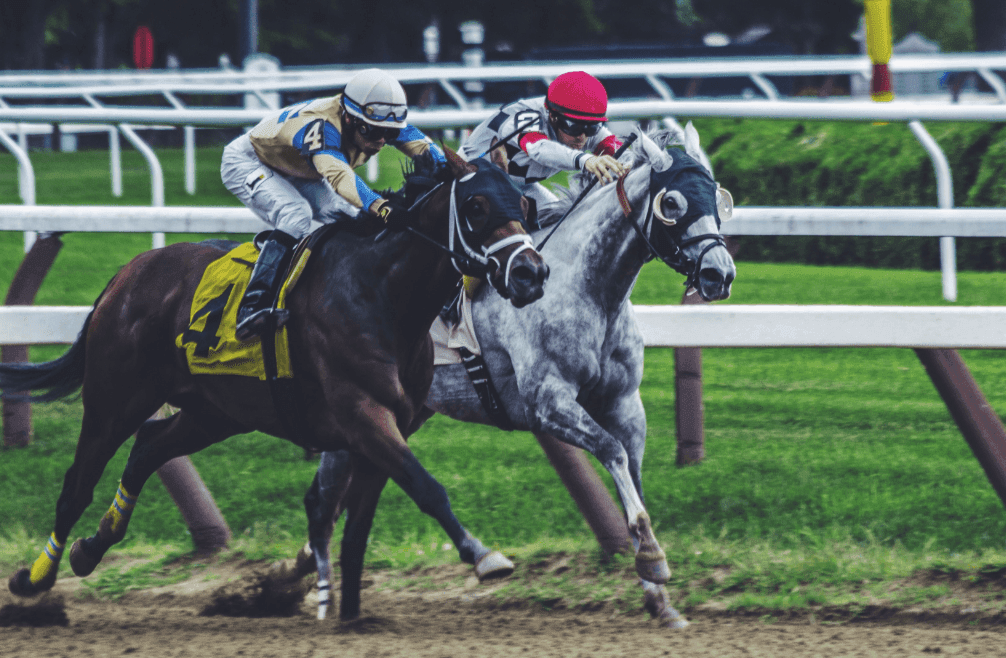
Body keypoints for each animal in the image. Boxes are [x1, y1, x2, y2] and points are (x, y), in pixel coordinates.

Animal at [1, 147, 551, 603]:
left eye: (525, 205)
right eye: (476, 206)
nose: (531, 273)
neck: (381, 293)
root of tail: (126, 273)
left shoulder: (391, 423)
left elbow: (360, 519)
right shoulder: (364, 415)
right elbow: (426, 487)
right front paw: (484, 556)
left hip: (216, 410)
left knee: (148, 449)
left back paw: (90, 549)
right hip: (116, 398)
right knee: (77, 485)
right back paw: (36, 577)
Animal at [293, 126, 736, 627]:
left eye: (720, 198)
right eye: (673, 203)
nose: (719, 274)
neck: (587, 287)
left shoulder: (624, 401)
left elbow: (634, 472)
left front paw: (659, 595)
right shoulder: (548, 403)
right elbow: (612, 451)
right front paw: (652, 560)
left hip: (399, 416)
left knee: (334, 499)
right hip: (356, 411)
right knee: (322, 503)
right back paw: (319, 595)